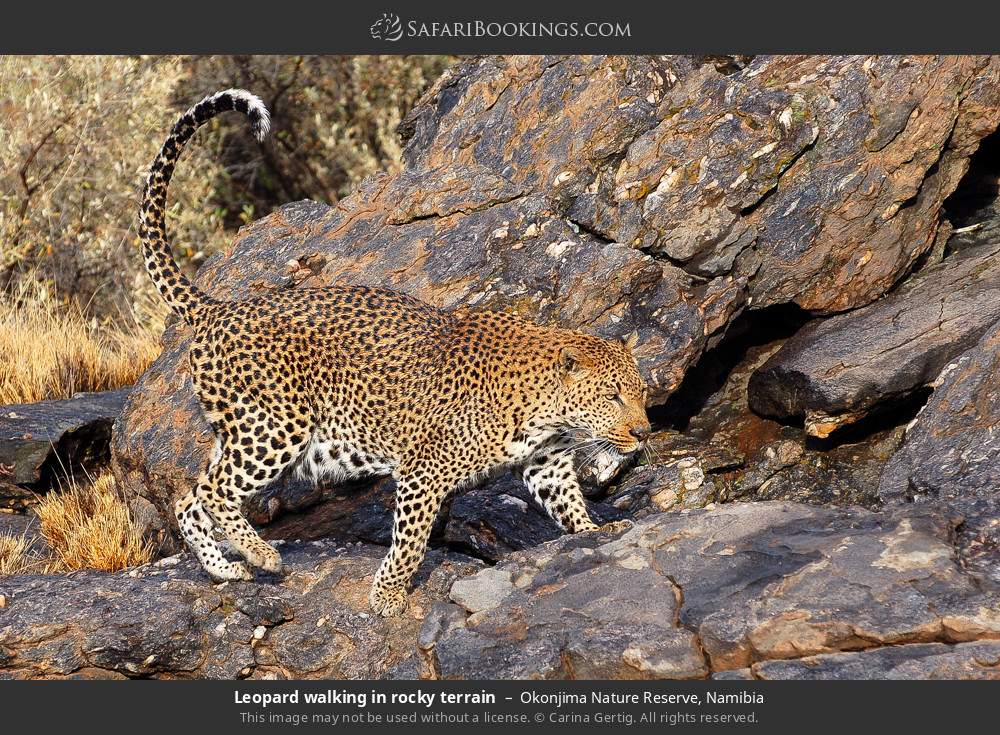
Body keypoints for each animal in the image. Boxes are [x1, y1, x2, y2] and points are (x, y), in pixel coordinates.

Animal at [141, 89, 656, 620]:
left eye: (640, 394)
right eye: (613, 396)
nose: (643, 433)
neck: (548, 411)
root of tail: (220, 307)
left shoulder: (547, 463)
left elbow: (569, 503)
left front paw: (597, 533)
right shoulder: (423, 472)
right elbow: (410, 541)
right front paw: (388, 596)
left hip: (236, 429)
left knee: (189, 496)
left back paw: (225, 568)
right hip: (276, 425)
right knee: (216, 491)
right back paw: (261, 553)